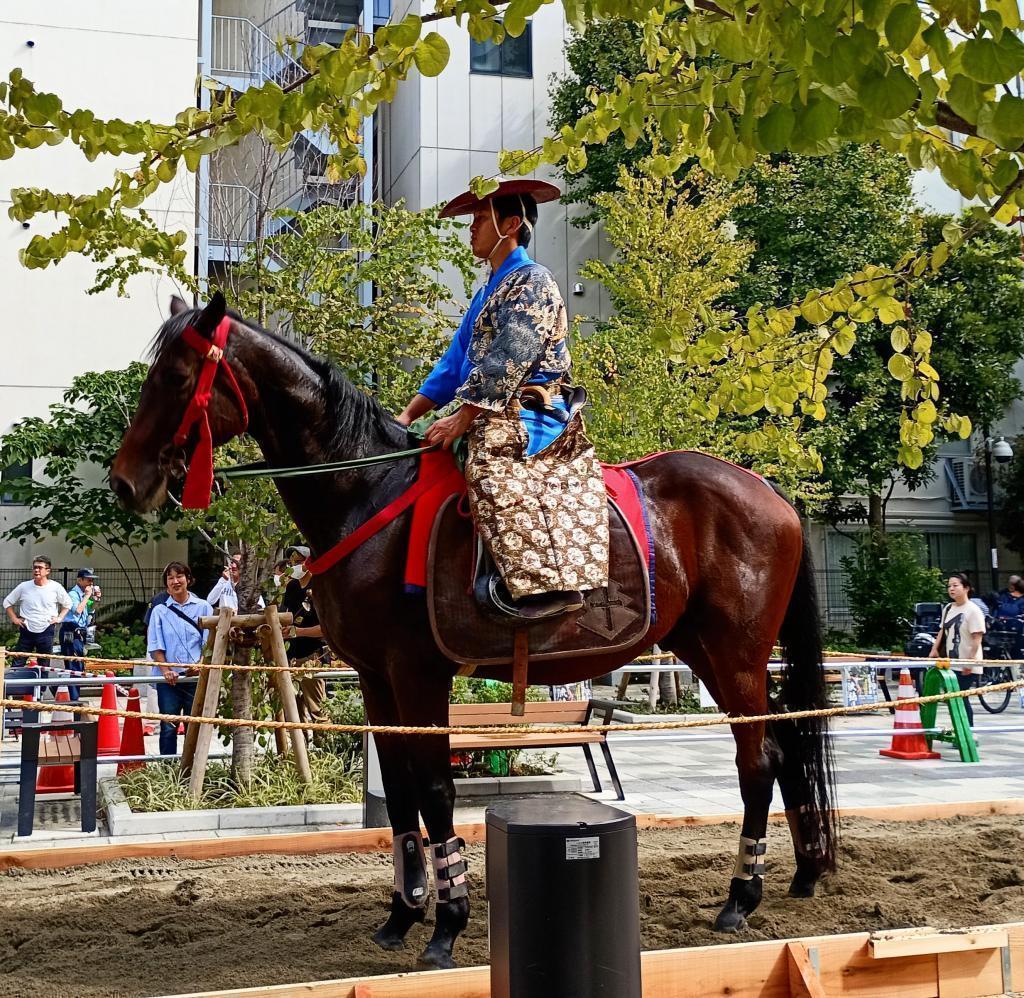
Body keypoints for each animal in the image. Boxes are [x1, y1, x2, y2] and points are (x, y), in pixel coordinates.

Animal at [112, 294, 835, 966]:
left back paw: (741, 897)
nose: (125, 483)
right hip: (706, 648)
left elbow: (434, 789)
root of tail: (766, 488)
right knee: (783, 749)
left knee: (756, 761)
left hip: (736, 654)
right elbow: (401, 790)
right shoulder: (376, 679)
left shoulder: (418, 673)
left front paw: (448, 923)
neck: (365, 493)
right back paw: (800, 871)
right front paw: (403, 912)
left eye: (175, 377)